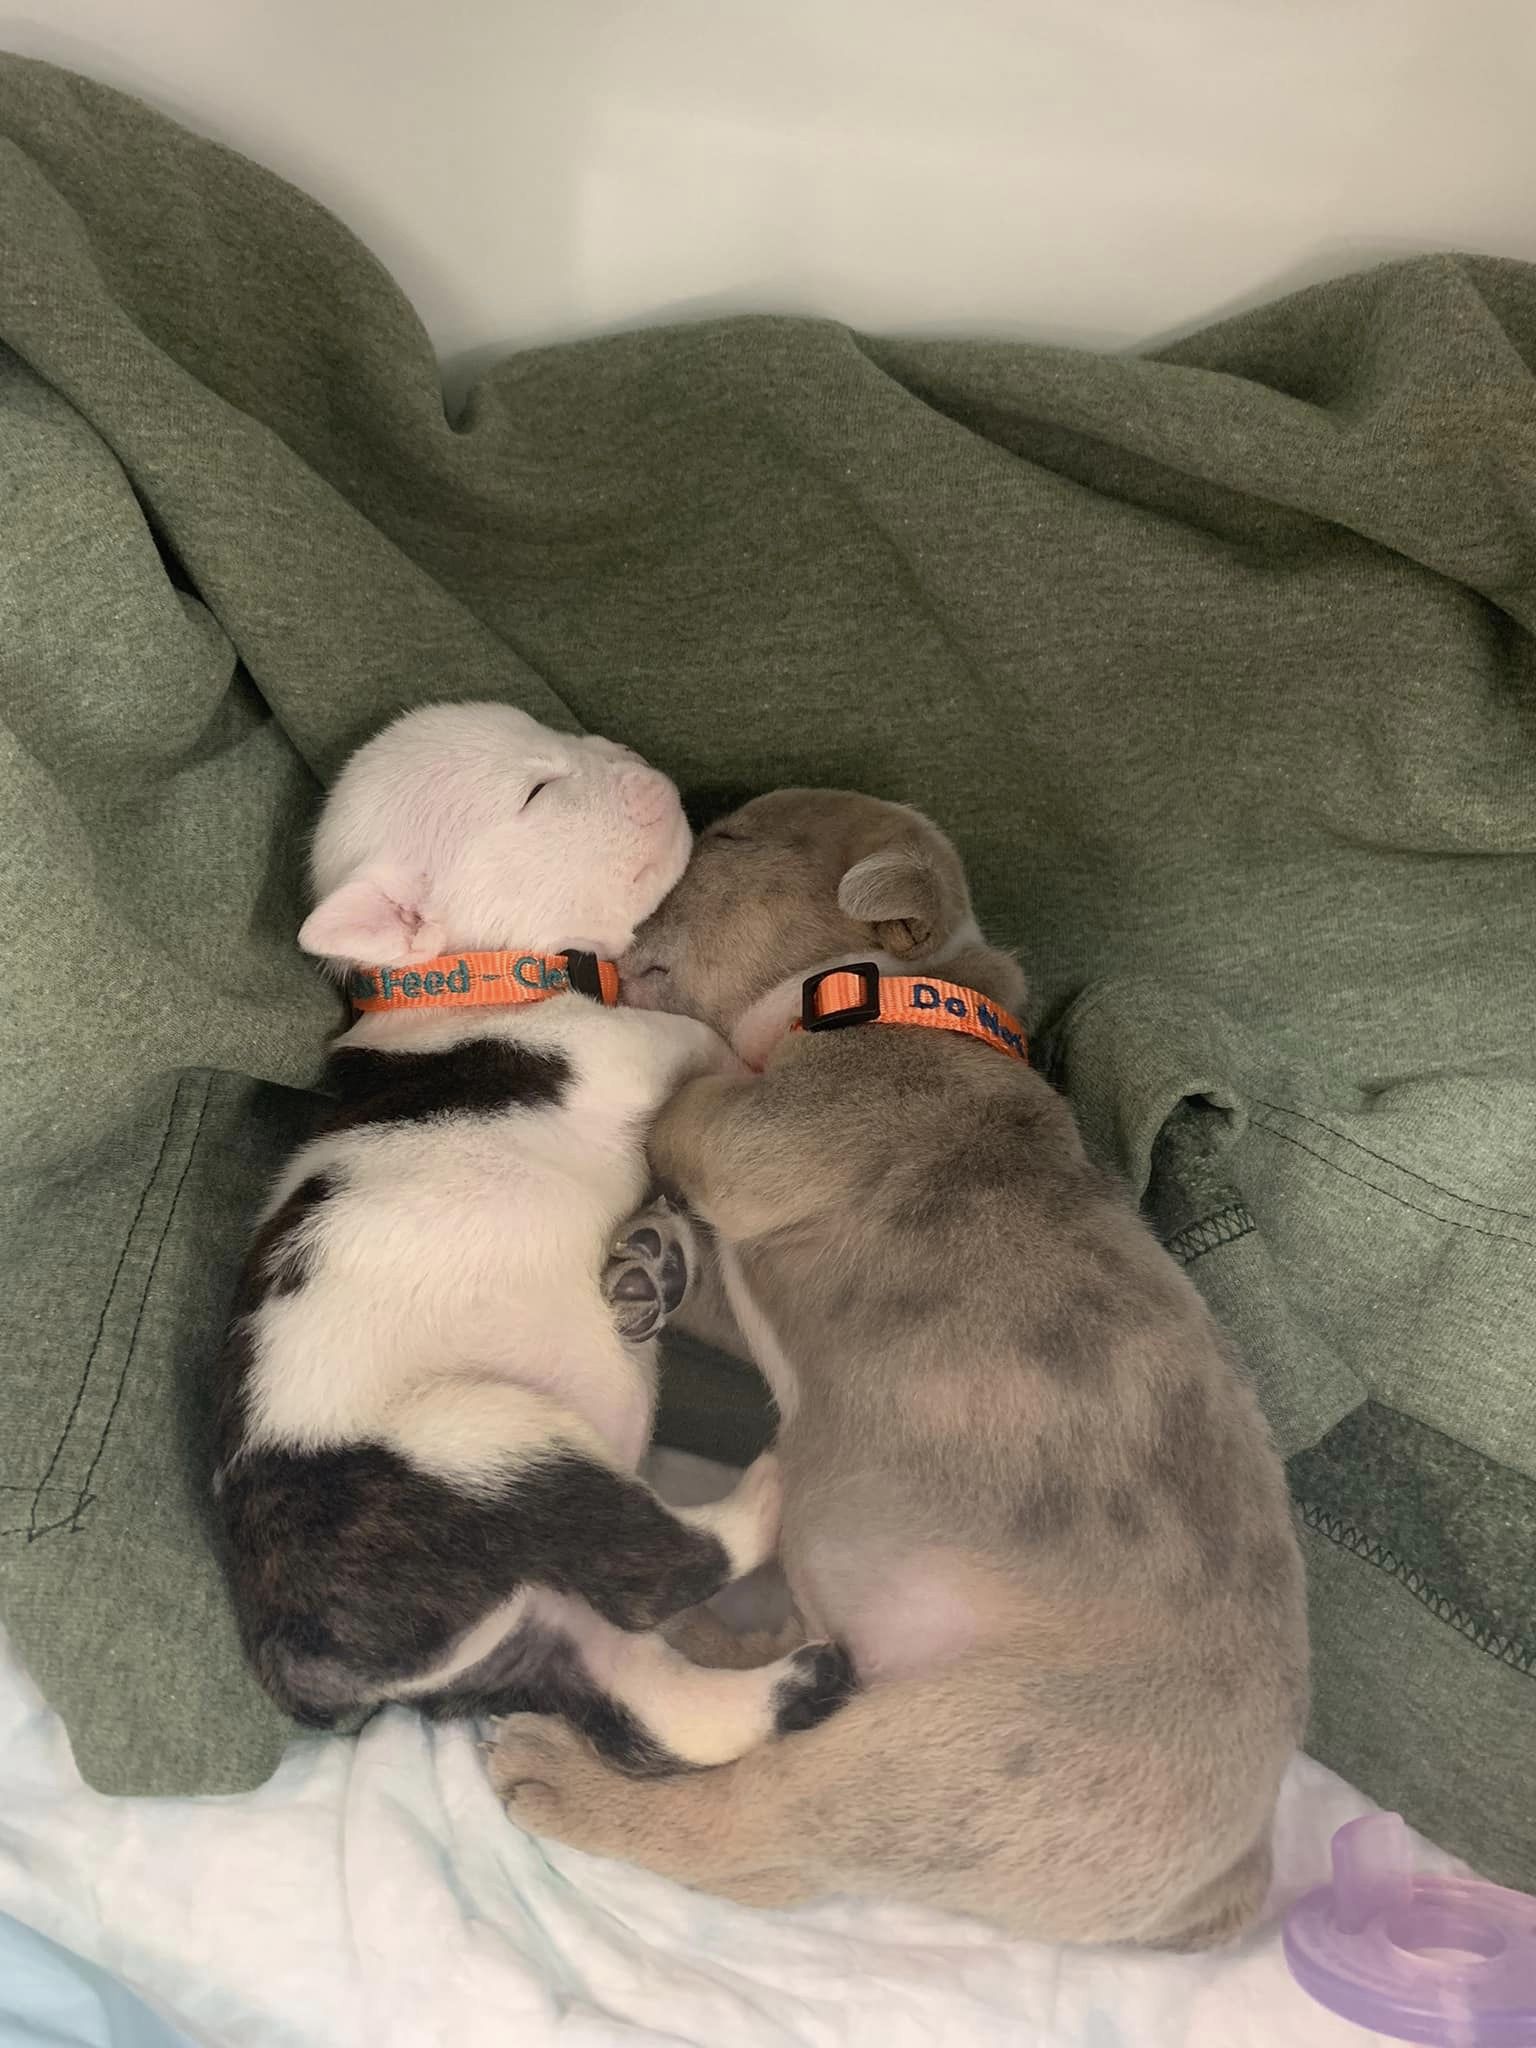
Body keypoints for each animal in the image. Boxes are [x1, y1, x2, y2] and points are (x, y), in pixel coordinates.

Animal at [205, 712, 856, 1769]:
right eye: (535, 795)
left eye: (562, 737)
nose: (643, 771)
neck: (461, 980)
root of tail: (302, 1659)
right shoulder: (619, 1053)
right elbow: (696, 1044)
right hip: (476, 1447)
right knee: (660, 1568)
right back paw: (769, 1488)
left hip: (541, 1616)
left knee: (655, 1695)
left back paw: (803, 1678)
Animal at [493, 786, 1310, 1949]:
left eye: (730, 839)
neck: (884, 991)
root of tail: (1236, 1870)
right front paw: (652, 1267)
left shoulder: (773, 1130)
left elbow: (695, 1086)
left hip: (946, 1762)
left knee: (748, 1827)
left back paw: (569, 1782)